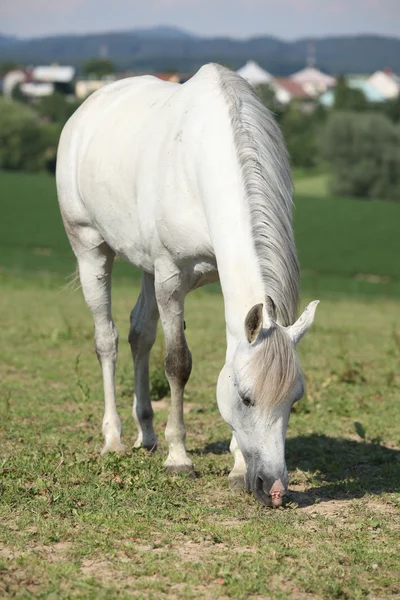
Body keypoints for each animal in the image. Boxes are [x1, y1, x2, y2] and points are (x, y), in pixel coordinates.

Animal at [56, 64, 318, 506]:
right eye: (246, 398)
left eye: (294, 399)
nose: (274, 489)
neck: (201, 165)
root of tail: (85, 109)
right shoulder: (170, 276)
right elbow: (178, 363)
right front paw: (179, 458)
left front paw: (237, 466)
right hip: (90, 248)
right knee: (107, 339)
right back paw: (114, 439)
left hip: (145, 266)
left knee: (139, 334)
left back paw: (146, 433)